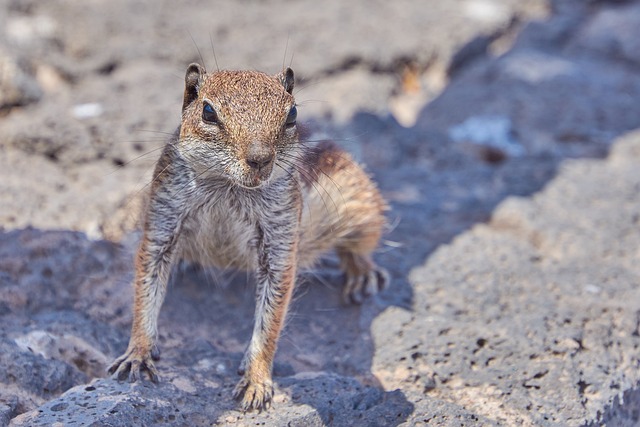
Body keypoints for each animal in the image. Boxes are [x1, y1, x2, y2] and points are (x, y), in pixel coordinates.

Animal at [109, 63, 388, 412]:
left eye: (292, 113)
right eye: (208, 112)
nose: (260, 159)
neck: (227, 186)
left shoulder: (280, 238)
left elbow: (270, 320)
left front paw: (256, 379)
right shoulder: (163, 216)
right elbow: (146, 286)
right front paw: (137, 353)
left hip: (360, 199)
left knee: (359, 242)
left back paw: (362, 272)